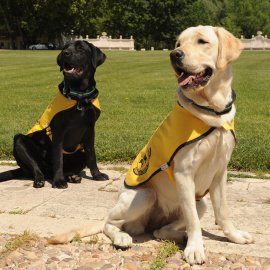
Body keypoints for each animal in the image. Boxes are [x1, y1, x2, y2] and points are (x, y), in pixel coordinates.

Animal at [0, 40, 109, 189]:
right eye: (65, 48)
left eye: (80, 48)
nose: (64, 53)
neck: (80, 97)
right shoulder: (59, 130)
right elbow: (58, 159)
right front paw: (58, 181)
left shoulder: (90, 129)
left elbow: (91, 155)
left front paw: (97, 175)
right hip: (20, 141)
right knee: (38, 169)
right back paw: (41, 179)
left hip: (80, 156)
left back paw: (71, 176)